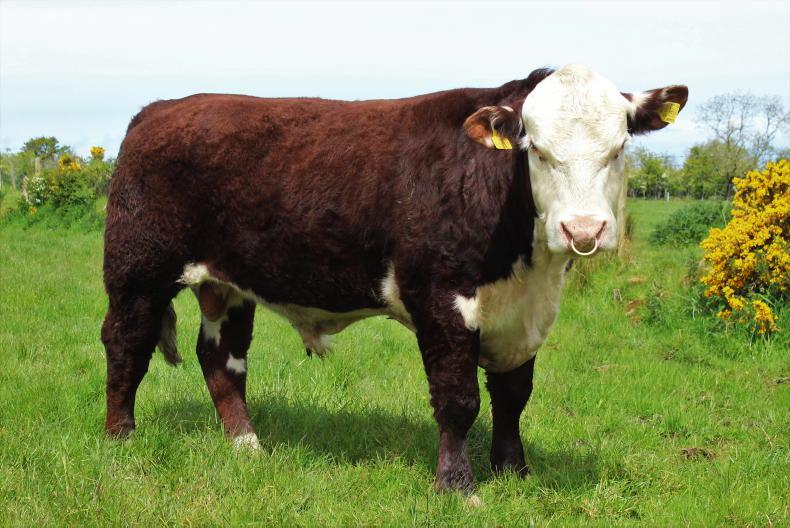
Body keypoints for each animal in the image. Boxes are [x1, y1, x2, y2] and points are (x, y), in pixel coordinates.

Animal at [101, 64, 687, 494]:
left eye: (618, 149)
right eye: (536, 149)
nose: (583, 229)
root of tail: (161, 109)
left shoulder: (524, 314)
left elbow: (513, 395)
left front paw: (514, 472)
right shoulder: (440, 298)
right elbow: (458, 400)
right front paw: (457, 487)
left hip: (229, 283)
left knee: (222, 359)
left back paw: (247, 446)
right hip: (137, 270)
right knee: (126, 343)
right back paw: (120, 439)